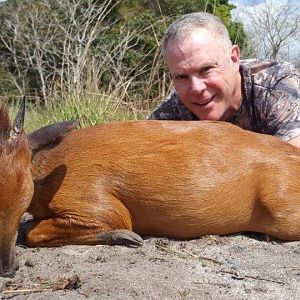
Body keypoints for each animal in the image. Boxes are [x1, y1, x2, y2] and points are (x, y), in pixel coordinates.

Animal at [0, 99, 300, 278]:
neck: (52, 168)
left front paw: (125, 237)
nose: (7, 268)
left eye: (25, 195)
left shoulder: (101, 209)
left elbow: (32, 233)